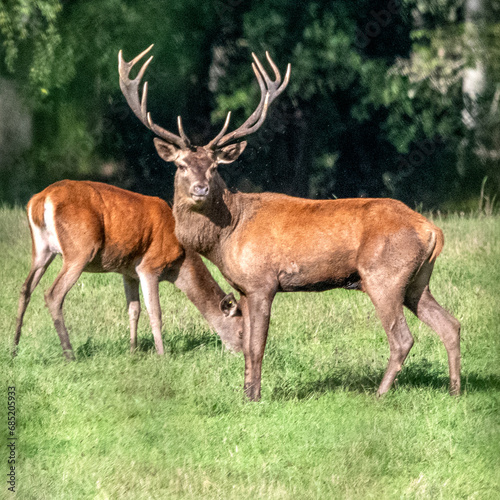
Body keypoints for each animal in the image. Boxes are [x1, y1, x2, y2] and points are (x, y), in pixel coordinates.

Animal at [13, 180, 244, 360]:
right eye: (242, 332)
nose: (242, 354)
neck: (179, 261)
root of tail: (40, 200)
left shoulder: (128, 272)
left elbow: (134, 309)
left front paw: (133, 351)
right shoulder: (149, 266)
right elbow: (155, 312)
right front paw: (162, 355)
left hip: (41, 249)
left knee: (25, 288)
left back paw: (14, 349)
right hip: (80, 249)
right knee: (53, 293)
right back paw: (70, 354)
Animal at [119, 45, 462, 400]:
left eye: (214, 167)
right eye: (182, 165)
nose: (200, 188)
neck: (226, 237)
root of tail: (432, 230)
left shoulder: (262, 282)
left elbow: (257, 346)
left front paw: (255, 397)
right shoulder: (243, 288)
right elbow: (247, 345)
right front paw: (246, 393)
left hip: (384, 275)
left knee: (402, 338)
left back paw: (379, 395)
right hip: (417, 279)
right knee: (450, 324)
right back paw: (455, 390)